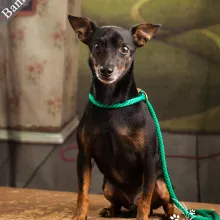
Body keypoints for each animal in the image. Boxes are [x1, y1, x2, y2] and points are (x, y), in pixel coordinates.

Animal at [68, 15, 174, 220]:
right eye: (96, 46)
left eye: (125, 49)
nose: (106, 70)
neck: (111, 103)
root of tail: (130, 203)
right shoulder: (83, 155)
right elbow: (82, 191)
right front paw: (79, 215)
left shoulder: (149, 158)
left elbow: (145, 198)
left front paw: (142, 217)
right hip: (108, 187)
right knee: (117, 203)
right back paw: (110, 210)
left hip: (163, 185)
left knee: (166, 203)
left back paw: (171, 215)